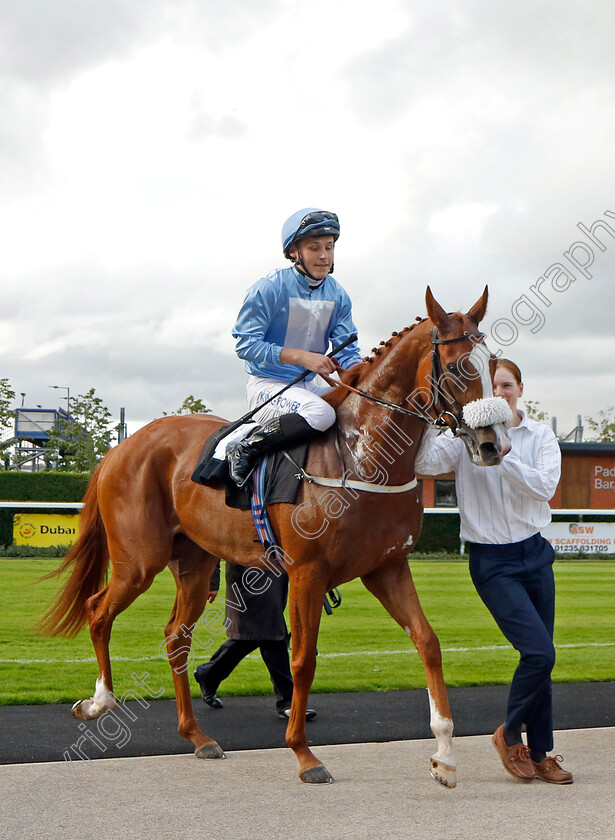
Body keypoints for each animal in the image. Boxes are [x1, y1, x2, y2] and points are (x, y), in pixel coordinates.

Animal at [39, 288, 510, 788]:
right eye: (459, 366)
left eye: (492, 361)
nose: (493, 444)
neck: (358, 454)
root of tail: (122, 447)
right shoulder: (308, 574)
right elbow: (303, 660)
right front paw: (304, 754)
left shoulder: (387, 568)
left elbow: (428, 642)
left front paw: (445, 755)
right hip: (138, 562)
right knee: (98, 610)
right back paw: (98, 702)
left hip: (196, 565)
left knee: (176, 636)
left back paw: (196, 736)